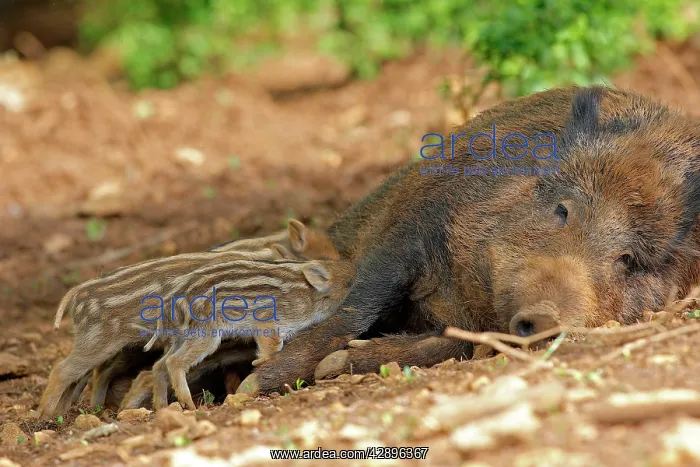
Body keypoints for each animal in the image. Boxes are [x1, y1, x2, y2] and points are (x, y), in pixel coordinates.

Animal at [238, 85, 699, 395]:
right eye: (563, 209)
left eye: (629, 258)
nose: (544, 316)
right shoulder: (415, 228)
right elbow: (357, 306)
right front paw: (252, 384)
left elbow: (452, 345)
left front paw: (331, 368)